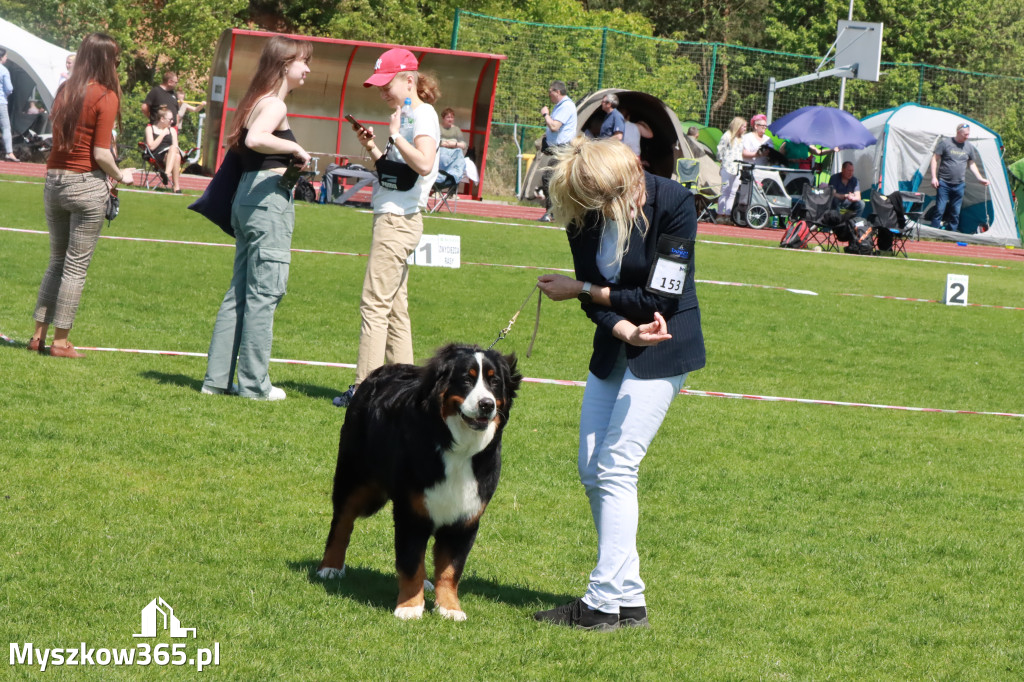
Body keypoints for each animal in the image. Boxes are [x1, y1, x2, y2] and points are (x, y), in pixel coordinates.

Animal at [317, 342, 520, 618]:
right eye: (466, 380)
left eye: (495, 382)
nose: (487, 404)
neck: (457, 447)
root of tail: (379, 372)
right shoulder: (411, 512)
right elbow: (411, 562)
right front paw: (410, 607)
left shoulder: (465, 517)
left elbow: (450, 569)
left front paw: (450, 608)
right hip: (354, 479)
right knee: (342, 522)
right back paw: (330, 567)